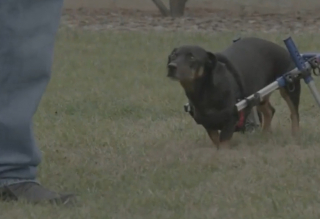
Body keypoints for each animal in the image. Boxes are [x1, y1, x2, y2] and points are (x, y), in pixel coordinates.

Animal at [166, 36, 302, 150]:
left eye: (192, 57)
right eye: (173, 56)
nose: (171, 66)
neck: (205, 92)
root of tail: (282, 49)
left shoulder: (231, 121)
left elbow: (223, 142)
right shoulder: (208, 125)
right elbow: (216, 141)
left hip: (290, 85)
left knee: (294, 114)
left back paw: (295, 136)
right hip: (259, 93)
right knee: (269, 111)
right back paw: (264, 135)